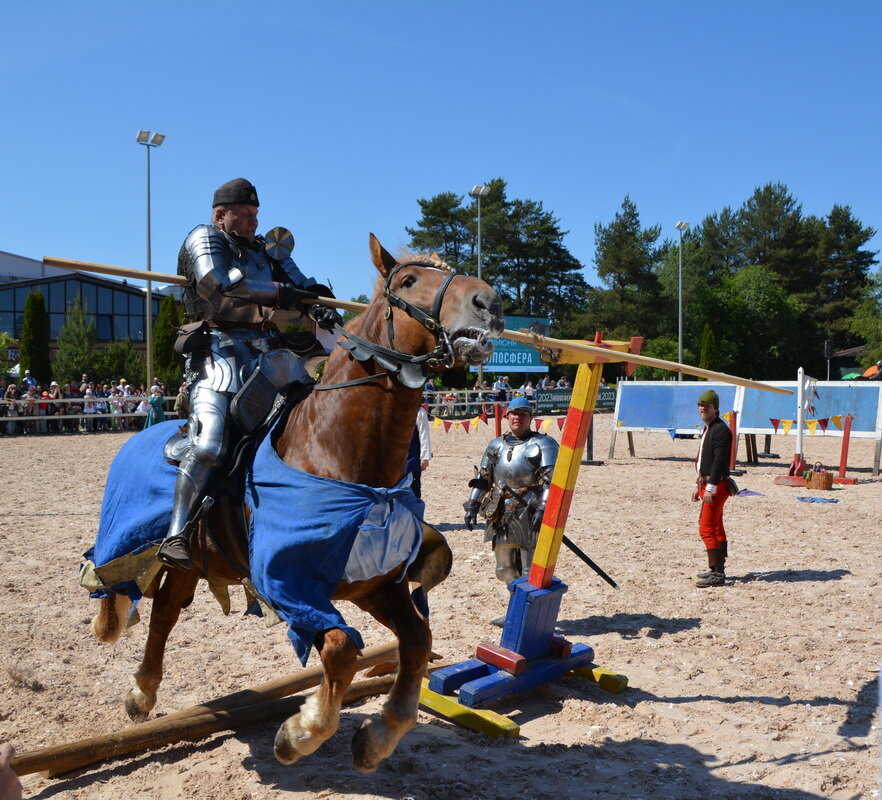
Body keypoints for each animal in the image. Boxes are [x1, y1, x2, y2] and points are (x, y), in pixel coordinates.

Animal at [91, 234, 502, 772]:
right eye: (410, 280)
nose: (490, 302)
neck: (340, 457)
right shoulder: (290, 588)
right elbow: (341, 649)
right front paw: (300, 733)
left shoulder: (375, 586)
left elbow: (416, 641)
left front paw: (377, 737)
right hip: (139, 537)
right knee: (116, 579)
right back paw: (112, 631)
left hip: (196, 562)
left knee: (163, 612)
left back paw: (141, 692)